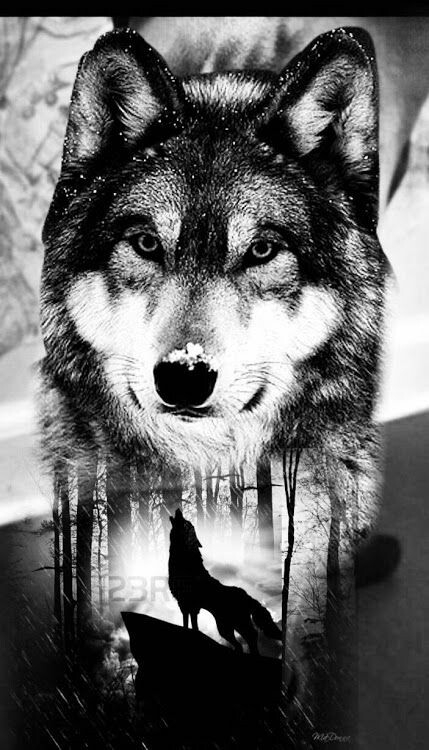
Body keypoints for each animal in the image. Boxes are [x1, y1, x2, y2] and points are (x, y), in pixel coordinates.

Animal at [168, 509, 281, 654]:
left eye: (185, 522)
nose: (178, 510)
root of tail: (248, 596)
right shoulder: (192, 607)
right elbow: (193, 625)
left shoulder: (184, 603)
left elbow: (186, 623)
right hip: (227, 628)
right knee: (243, 642)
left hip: (231, 625)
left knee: (251, 635)